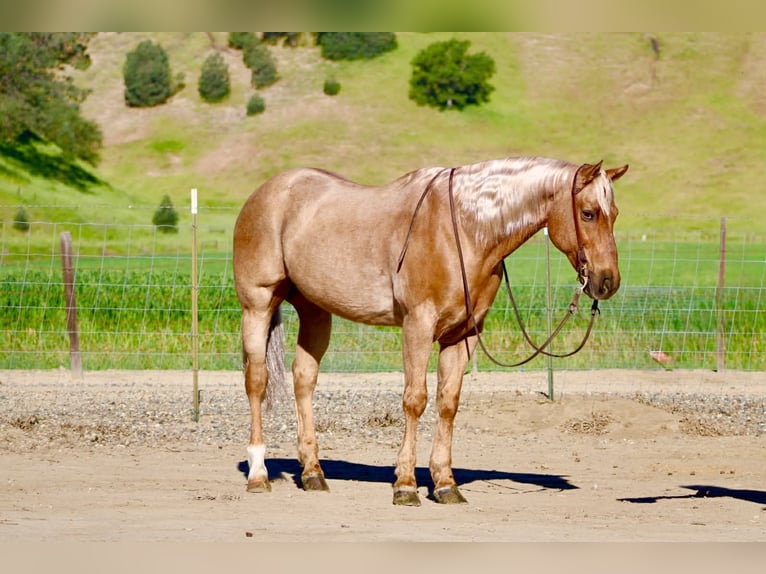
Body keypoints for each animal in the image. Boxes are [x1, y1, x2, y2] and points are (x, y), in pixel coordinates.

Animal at [233, 156, 628, 506]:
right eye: (588, 213)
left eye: (614, 214)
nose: (607, 282)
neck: (465, 232)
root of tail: (266, 192)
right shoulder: (417, 326)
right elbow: (415, 400)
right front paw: (406, 485)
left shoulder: (463, 335)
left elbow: (448, 403)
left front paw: (445, 484)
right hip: (258, 305)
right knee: (257, 381)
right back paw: (258, 473)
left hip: (315, 311)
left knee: (304, 379)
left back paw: (313, 473)